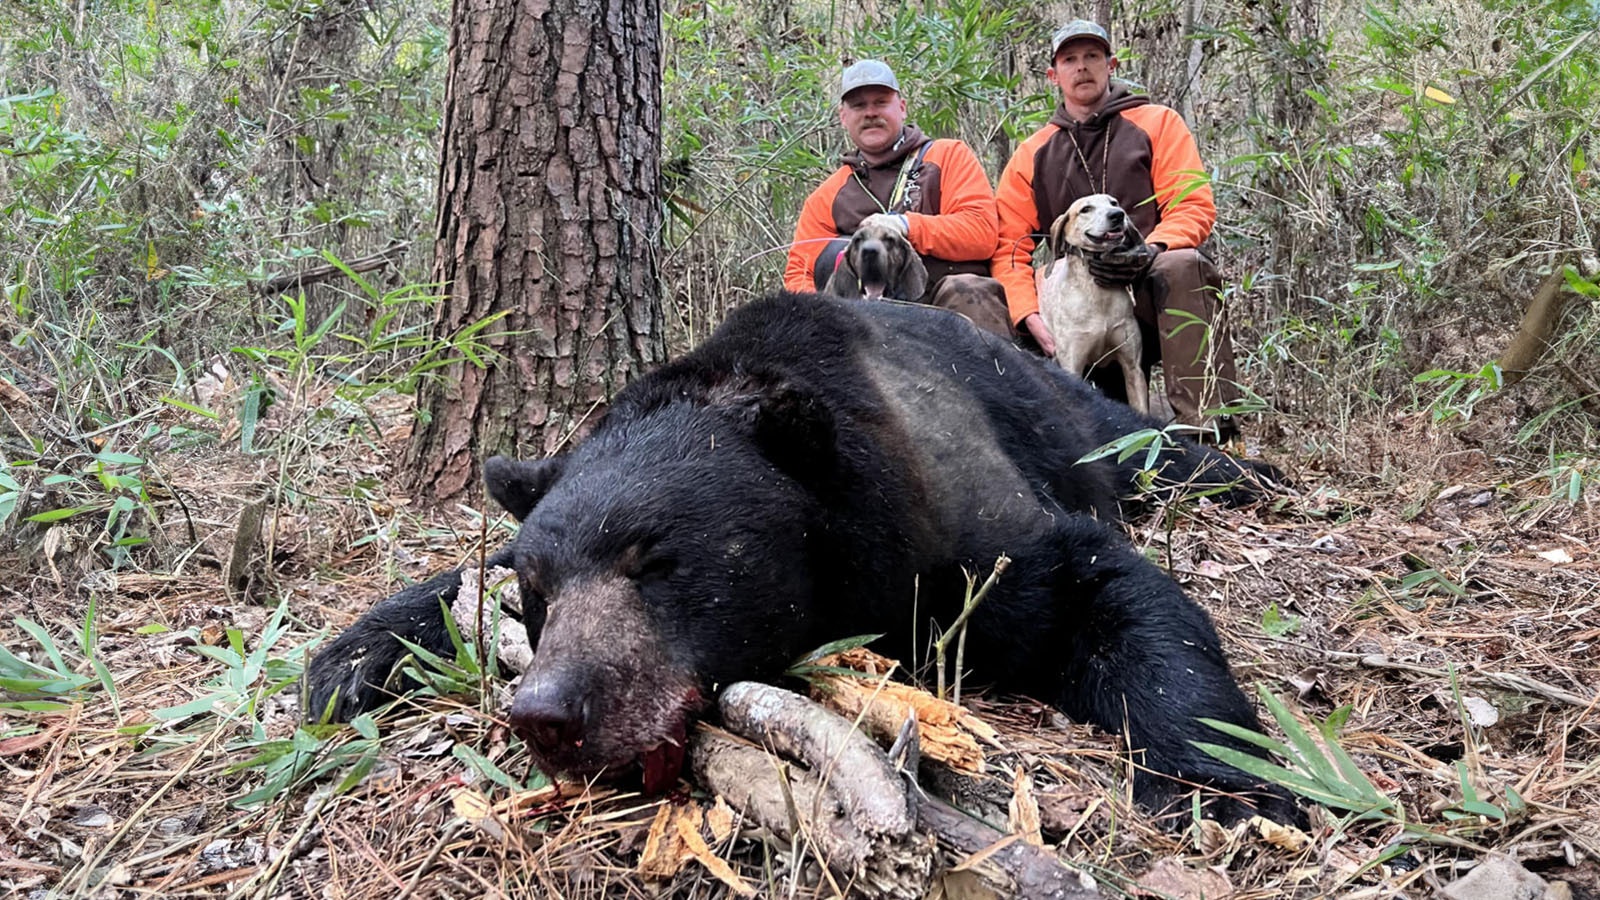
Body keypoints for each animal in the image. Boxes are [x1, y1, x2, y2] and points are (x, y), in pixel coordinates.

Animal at [308, 291, 1299, 826]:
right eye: (541, 591)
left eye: (656, 559)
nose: (549, 712)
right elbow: (457, 584)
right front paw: (346, 660)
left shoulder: (963, 531)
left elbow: (1108, 591)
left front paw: (1230, 784)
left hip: (1080, 418)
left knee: (1154, 449)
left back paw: (1254, 474)